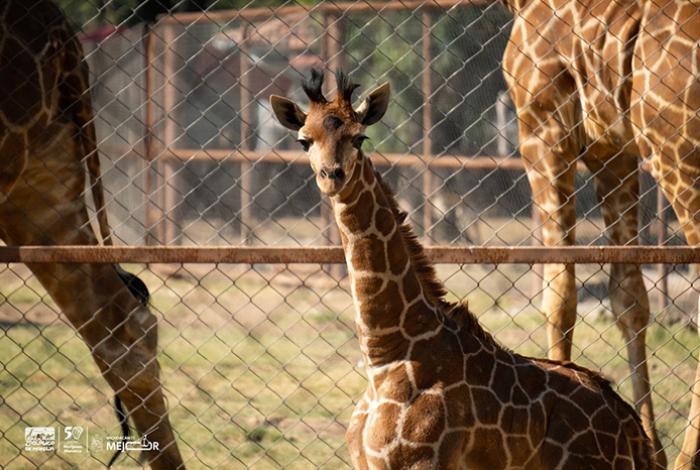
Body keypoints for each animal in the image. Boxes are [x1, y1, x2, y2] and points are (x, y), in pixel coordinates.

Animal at [271, 69, 656, 469]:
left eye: (358, 136)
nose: (332, 175)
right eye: (304, 140)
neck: (386, 356)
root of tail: (633, 432)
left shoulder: (422, 462)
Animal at [502, 0, 700, 466]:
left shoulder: (543, 129)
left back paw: (689, 458)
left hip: (678, 160)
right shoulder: (613, 150)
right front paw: (651, 449)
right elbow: (629, 298)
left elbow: (559, 293)